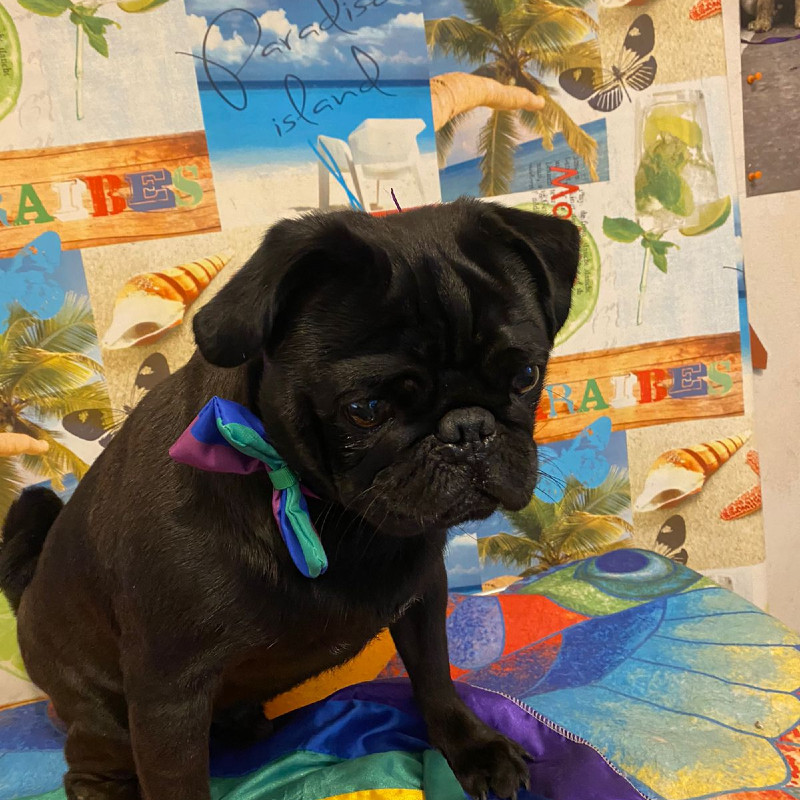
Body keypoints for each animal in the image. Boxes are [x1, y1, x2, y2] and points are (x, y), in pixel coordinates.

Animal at [0, 199, 579, 800]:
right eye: (365, 409)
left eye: (527, 375)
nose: (467, 429)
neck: (330, 515)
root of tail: (27, 591)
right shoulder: (167, 696)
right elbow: (178, 782)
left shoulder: (422, 596)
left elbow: (435, 680)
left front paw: (472, 746)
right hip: (106, 718)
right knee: (90, 764)